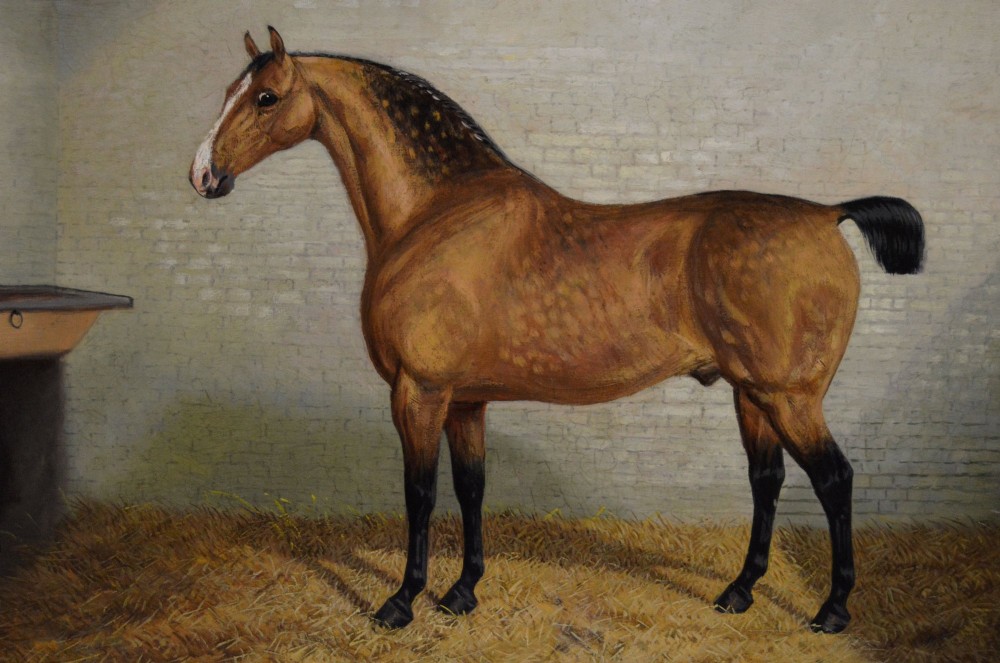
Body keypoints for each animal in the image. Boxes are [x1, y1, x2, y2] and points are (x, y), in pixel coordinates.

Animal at [190, 27, 924, 634]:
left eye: (265, 96)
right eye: (229, 92)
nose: (202, 174)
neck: (435, 213)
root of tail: (827, 214)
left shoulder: (419, 392)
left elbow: (421, 493)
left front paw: (402, 600)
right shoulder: (466, 400)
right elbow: (473, 487)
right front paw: (462, 593)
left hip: (789, 396)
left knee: (835, 479)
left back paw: (833, 609)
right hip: (753, 395)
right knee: (766, 479)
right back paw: (738, 592)